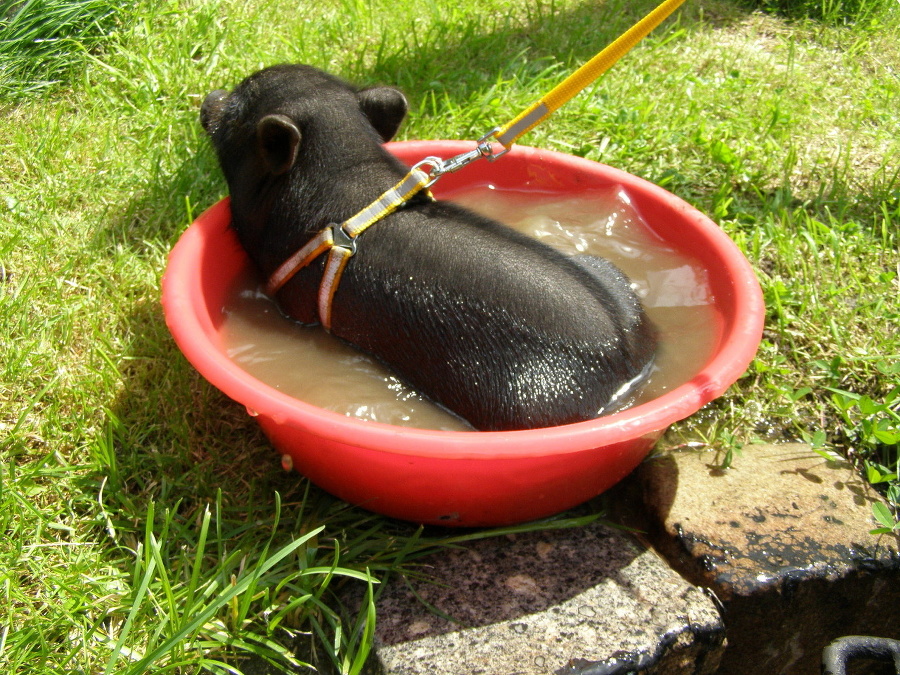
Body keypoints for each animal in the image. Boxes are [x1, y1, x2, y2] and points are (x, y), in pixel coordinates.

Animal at [202, 64, 652, 434]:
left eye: (237, 107)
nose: (212, 94)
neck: (343, 169)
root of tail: (628, 364)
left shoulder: (292, 297)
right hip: (610, 275)